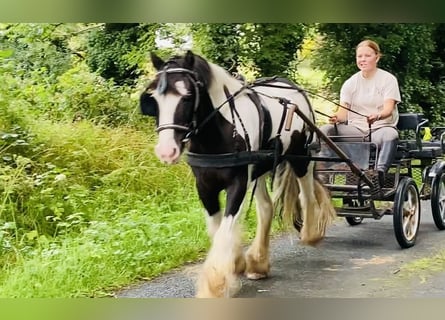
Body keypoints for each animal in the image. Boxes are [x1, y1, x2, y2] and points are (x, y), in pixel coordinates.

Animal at [139, 50, 332, 298]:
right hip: (259, 167)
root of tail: (292, 86)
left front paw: (214, 284)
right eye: (153, 99)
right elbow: (216, 227)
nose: (166, 151)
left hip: (301, 157)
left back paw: (311, 234)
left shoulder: (238, 183)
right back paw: (258, 262)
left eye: (188, 95)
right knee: (266, 207)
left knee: (306, 196)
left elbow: (226, 227)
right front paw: (236, 262)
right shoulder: (205, 186)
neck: (220, 132)